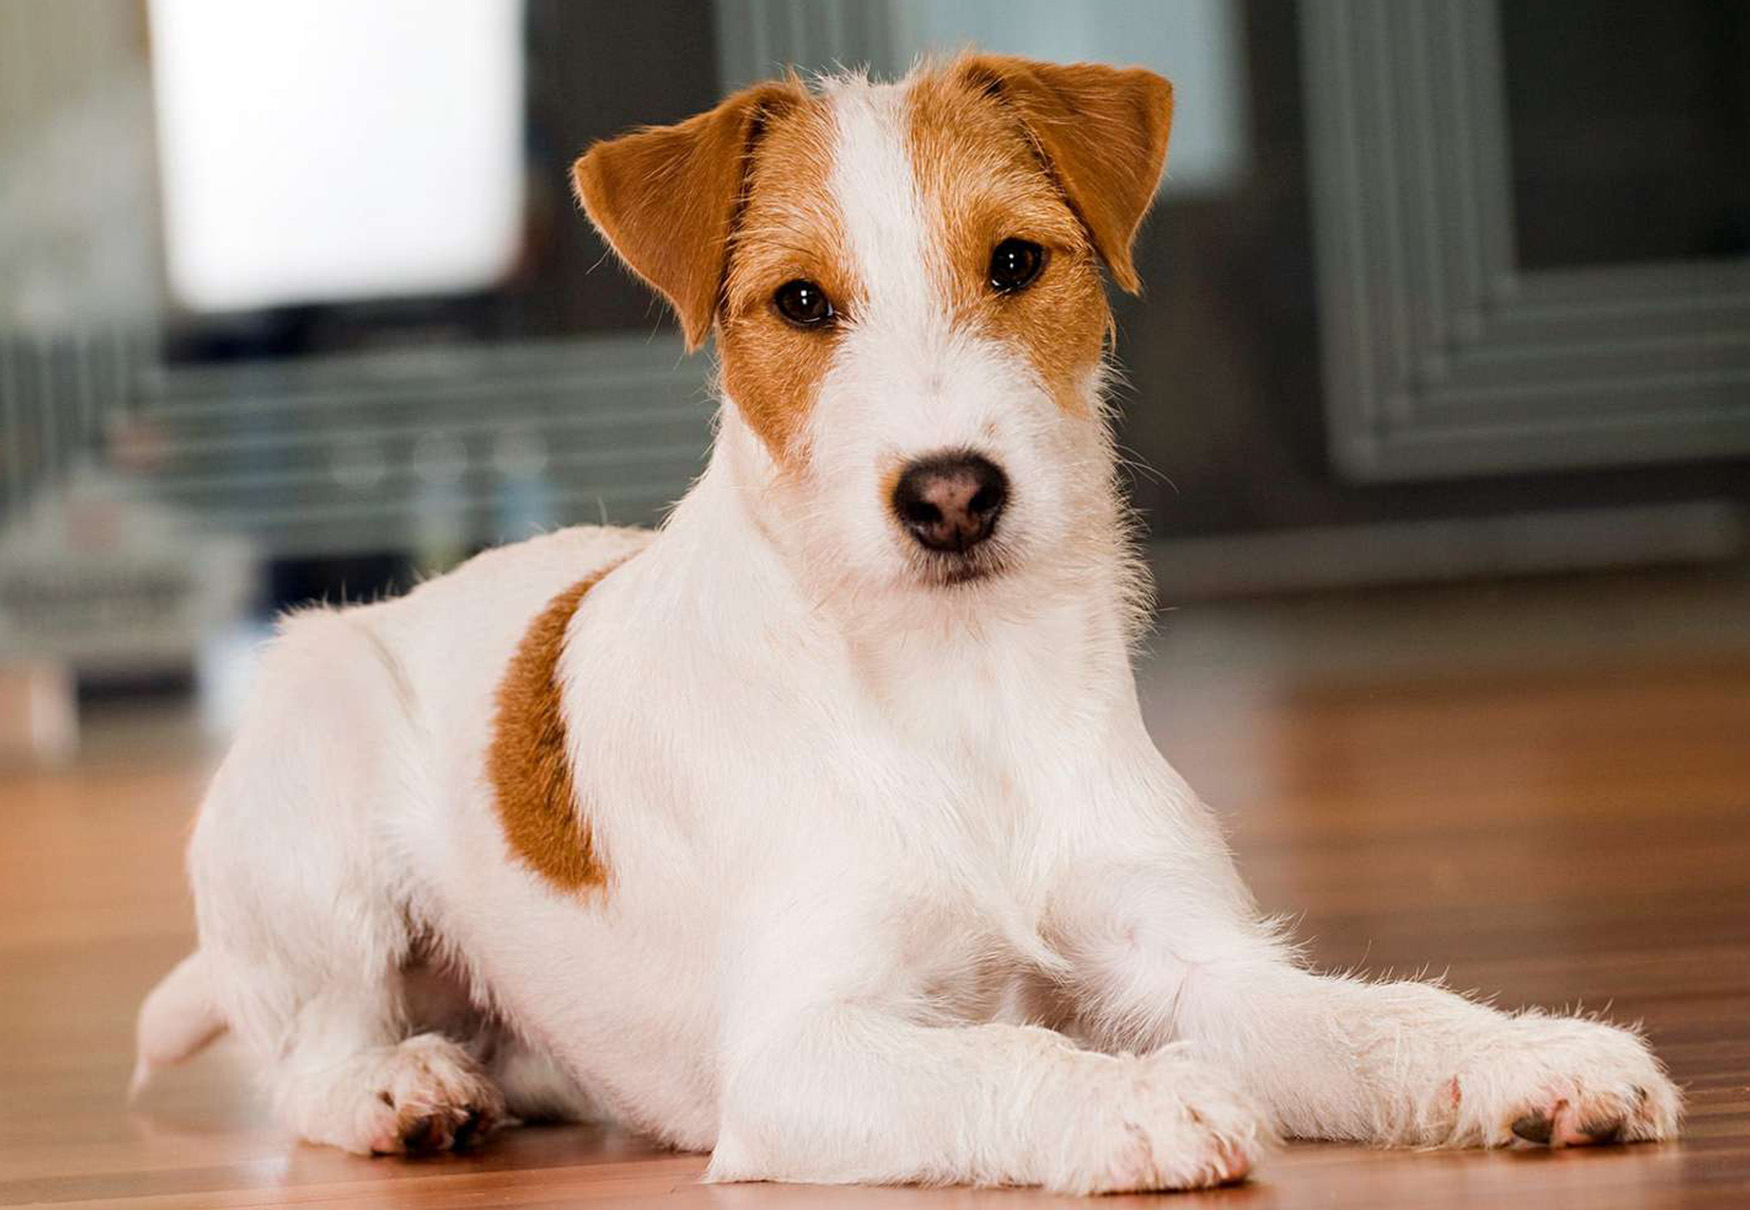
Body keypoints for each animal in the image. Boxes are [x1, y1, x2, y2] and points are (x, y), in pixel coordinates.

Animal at [133, 54, 1680, 1190]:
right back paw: (398, 1085)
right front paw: (1137, 1101)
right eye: (799, 301)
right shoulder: (801, 1050)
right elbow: (1000, 1058)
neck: (960, 688)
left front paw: (1526, 1058)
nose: (950, 494)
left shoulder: (1192, 961)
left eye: (1015, 264)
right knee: (309, 1049)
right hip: (316, 778)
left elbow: (1365, 1017)